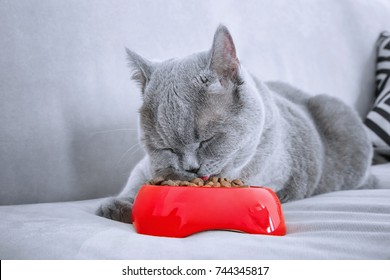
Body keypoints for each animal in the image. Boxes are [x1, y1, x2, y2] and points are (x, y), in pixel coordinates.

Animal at [96, 25, 374, 224]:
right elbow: (138, 181)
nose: (191, 168)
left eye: (207, 140)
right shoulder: (146, 166)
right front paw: (118, 204)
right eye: (167, 148)